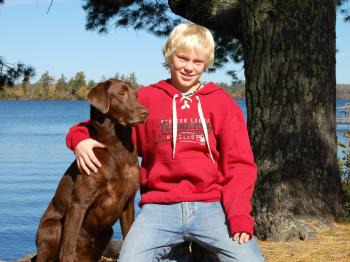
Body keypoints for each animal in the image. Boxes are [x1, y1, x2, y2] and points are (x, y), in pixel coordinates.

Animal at [35, 79, 149, 260]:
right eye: (121, 93)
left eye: (136, 95)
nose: (146, 113)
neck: (116, 146)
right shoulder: (79, 203)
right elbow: (68, 248)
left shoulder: (128, 201)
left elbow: (128, 235)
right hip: (53, 228)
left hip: (106, 232)